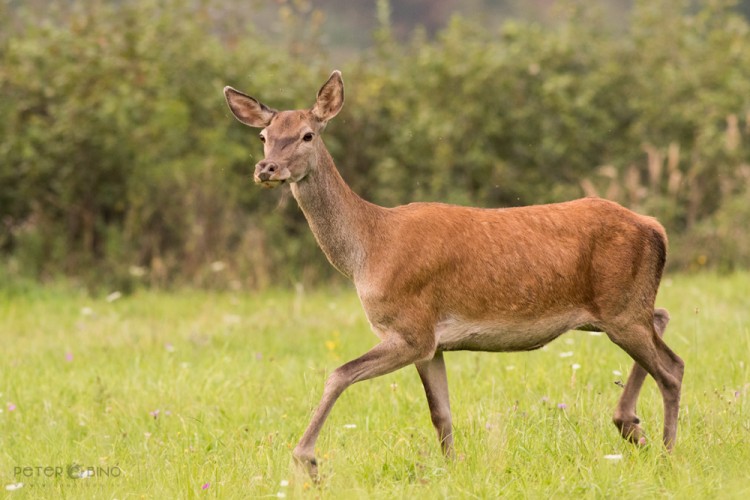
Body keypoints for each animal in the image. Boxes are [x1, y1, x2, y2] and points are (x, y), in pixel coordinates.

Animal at [223, 69, 688, 476]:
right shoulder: (433, 344)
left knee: (673, 367)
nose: (266, 169)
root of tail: (655, 227)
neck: (367, 250)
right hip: (615, 309)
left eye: (308, 134)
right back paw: (632, 427)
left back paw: (665, 452)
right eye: (263, 137)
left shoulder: (412, 329)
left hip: (620, 308)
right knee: (663, 318)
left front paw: (307, 460)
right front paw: (451, 469)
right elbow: (441, 414)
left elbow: (339, 374)